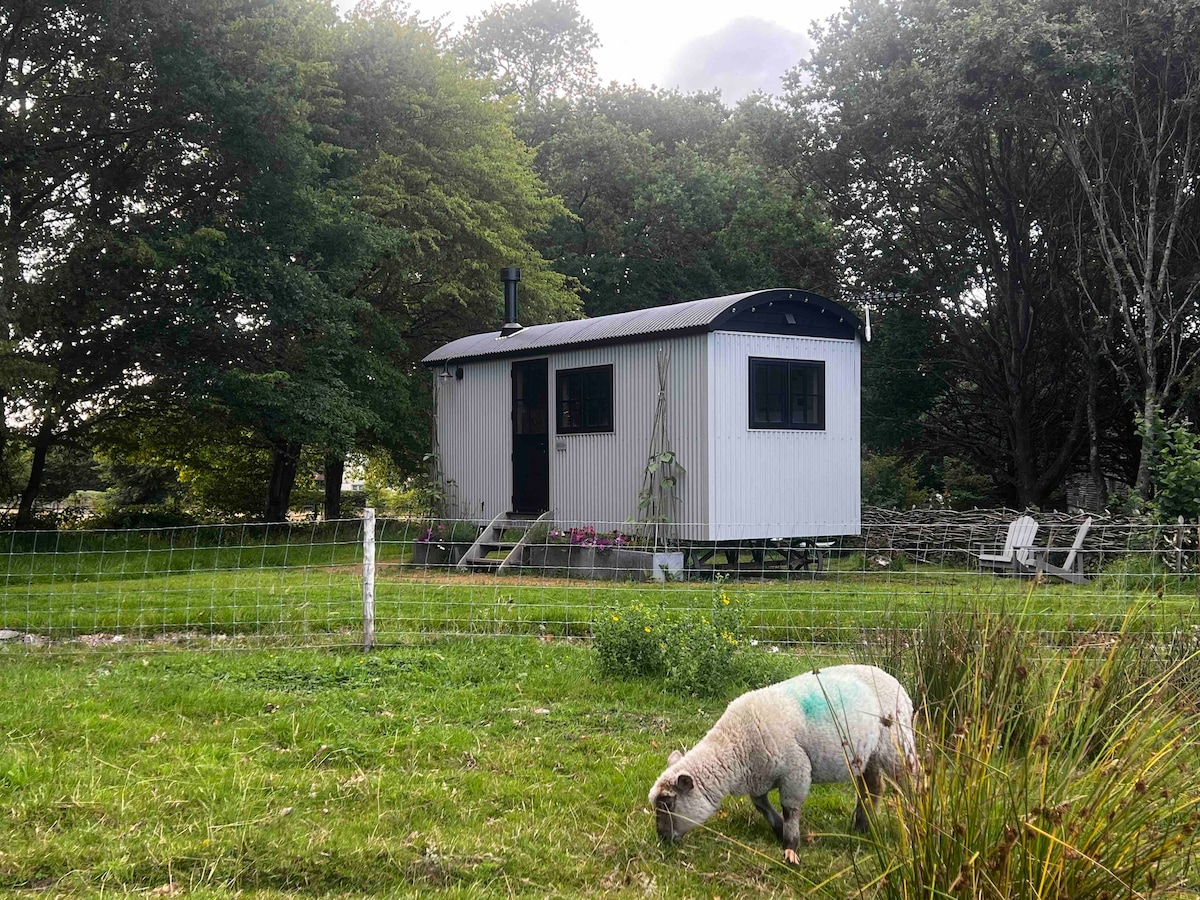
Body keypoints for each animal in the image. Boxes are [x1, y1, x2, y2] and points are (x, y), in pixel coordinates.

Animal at [648, 662, 916, 868]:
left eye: (668, 802)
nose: (662, 838)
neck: (736, 744)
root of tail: (894, 679)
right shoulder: (760, 776)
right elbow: (760, 804)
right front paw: (778, 829)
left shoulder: (795, 770)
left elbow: (790, 809)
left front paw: (791, 847)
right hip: (866, 753)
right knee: (872, 787)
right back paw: (861, 826)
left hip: (897, 744)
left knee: (911, 781)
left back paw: (915, 819)